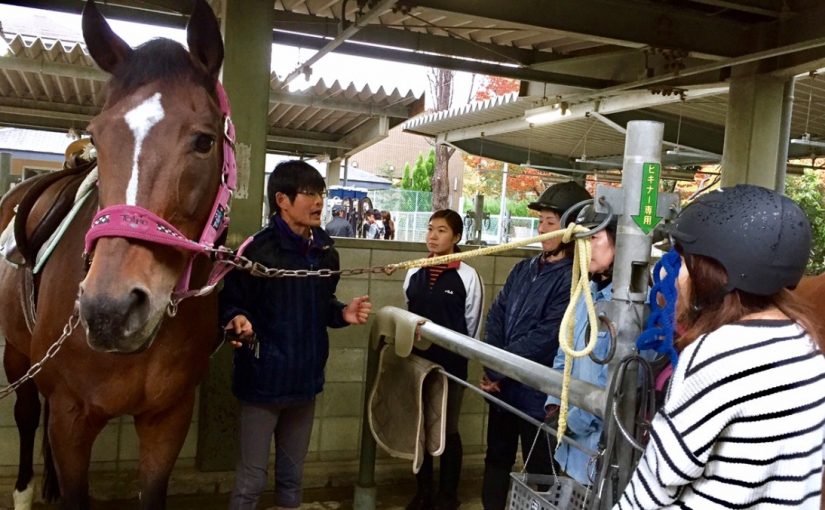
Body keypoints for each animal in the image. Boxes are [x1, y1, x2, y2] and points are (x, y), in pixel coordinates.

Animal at [0, 1, 232, 508]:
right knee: (26, 412)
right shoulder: (71, 417)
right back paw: (25, 490)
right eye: (97, 137)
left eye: (204, 141)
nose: (110, 308)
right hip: (17, 350)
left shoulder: (168, 419)